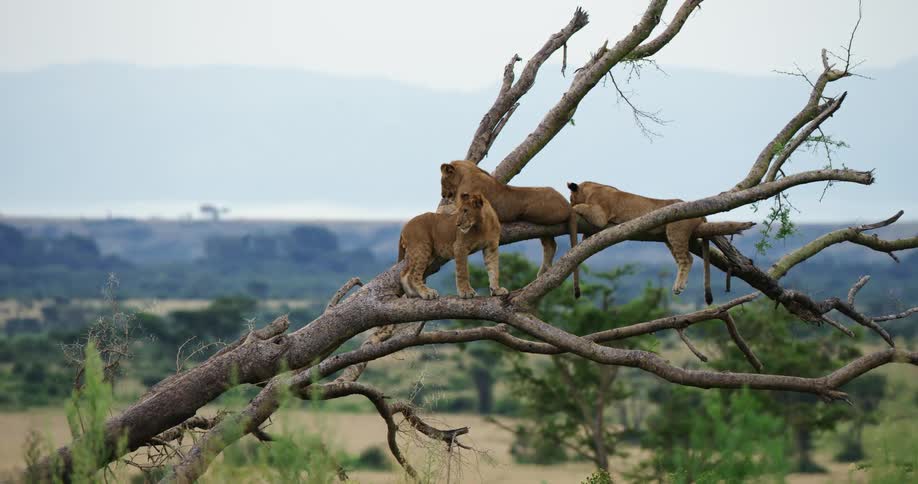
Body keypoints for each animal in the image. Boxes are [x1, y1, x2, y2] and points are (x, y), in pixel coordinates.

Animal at [439, 160, 581, 297]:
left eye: (442, 181)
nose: (443, 195)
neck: (466, 174)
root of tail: (568, 205)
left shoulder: (465, 204)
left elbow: (446, 210)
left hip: (537, 214)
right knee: (551, 244)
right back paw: (543, 272)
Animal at [567, 181, 752, 304]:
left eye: (570, 198)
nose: (569, 202)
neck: (591, 189)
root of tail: (700, 215)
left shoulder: (600, 215)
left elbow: (585, 209)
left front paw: (574, 209)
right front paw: (583, 239)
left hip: (675, 232)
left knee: (686, 259)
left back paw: (678, 287)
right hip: (669, 238)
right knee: (688, 258)